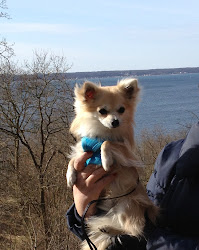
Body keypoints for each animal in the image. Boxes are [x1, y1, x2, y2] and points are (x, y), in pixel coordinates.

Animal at [67, 78, 159, 250]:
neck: (102, 133)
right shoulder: (82, 151)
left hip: (126, 203)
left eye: (121, 110)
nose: (115, 121)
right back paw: (106, 228)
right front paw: (70, 176)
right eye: (102, 111)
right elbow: (73, 160)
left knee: (135, 230)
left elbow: (107, 143)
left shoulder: (126, 153)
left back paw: (109, 229)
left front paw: (105, 160)